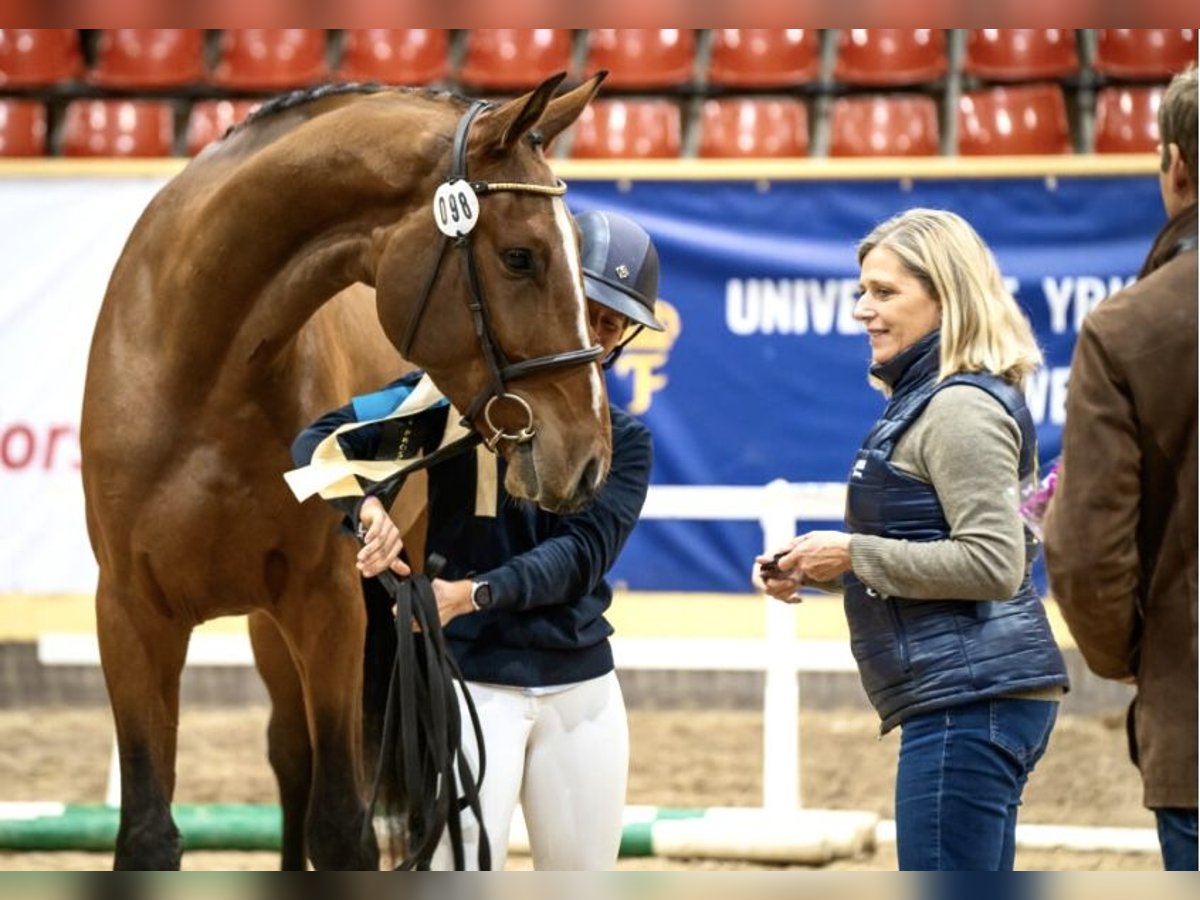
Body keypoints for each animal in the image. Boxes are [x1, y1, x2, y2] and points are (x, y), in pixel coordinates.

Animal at [77, 74, 609, 868]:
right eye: (520, 257)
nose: (589, 453)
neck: (199, 372)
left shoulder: (326, 606)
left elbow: (339, 824)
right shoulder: (131, 617)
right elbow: (147, 827)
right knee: (288, 756)